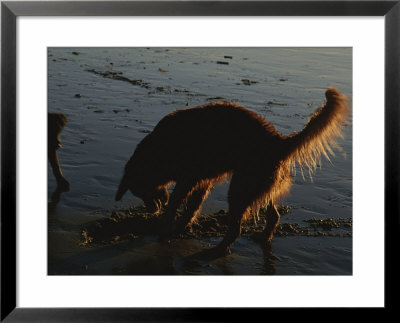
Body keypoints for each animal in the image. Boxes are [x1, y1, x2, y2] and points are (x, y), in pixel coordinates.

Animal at [114, 87, 348, 256]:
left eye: (140, 191)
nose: (151, 210)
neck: (159, 149)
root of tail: (278, 141)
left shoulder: (189, 177)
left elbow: (176, 202)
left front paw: (164, 227)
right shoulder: (201, 180)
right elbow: (191, 207)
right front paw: (179, 226)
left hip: (240, 188)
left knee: (236, 228)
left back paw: (217, 250)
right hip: (258, 185)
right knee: (274, 215)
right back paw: (263, 237)